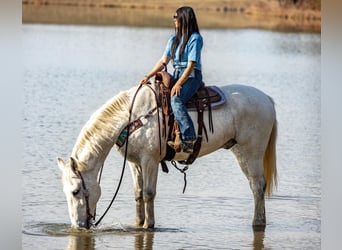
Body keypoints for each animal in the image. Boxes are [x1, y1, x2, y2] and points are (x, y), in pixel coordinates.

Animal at [57, 83, 278, 230]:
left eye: (76, 191)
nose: (78, 226)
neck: (132, 118)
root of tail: (267, 98)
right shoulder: (134, 163)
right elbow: (138, 193)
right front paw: (138, 223)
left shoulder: (150, 160)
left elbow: (148, 193)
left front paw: (149, 225)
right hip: (239, 151)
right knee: (255, 185)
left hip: (252, 152)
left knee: (258, 185)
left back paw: (257, 222)